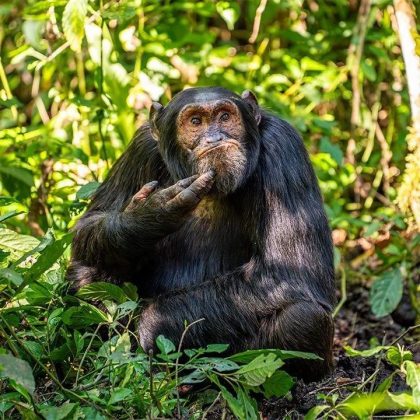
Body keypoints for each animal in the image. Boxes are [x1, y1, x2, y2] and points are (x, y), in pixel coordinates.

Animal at [67, 86, 336, 380]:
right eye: (195, 121)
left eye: (224, 116)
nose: (214, 137)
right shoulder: (140, 147)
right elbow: (89, 222)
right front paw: (148, 215)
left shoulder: (283, 146)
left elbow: (288, 271)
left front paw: (152, 324)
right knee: (87, 273)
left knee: (303, 317)